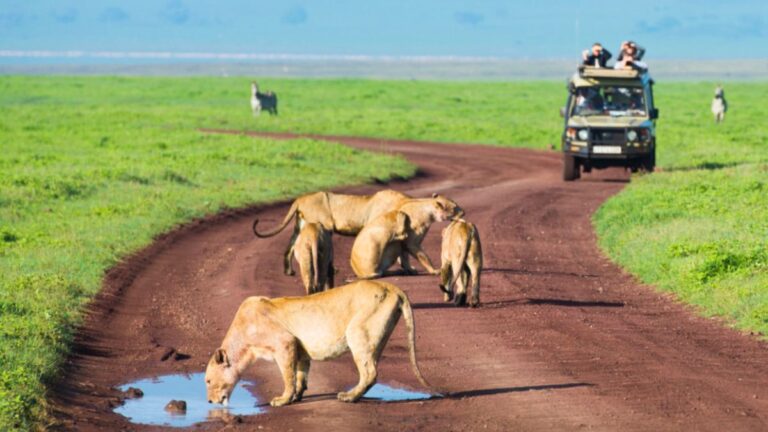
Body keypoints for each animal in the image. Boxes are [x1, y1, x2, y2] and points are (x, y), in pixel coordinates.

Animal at [205, 280, 432, 407]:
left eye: (207, 381)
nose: (209, 401)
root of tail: (391, 286)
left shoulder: (284, 343)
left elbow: (287, 376)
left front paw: (282, 400)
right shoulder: (299, 349)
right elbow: (300, 375)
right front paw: (296, 396)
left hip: (357, 332)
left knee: (370, 373)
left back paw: (349, 397)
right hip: (376, 338)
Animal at [252, 190, 411, 276]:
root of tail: (300, 199)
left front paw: (408, 268)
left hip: (300, 226)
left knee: (290, 248)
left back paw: (289, 271)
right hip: (323, 224)